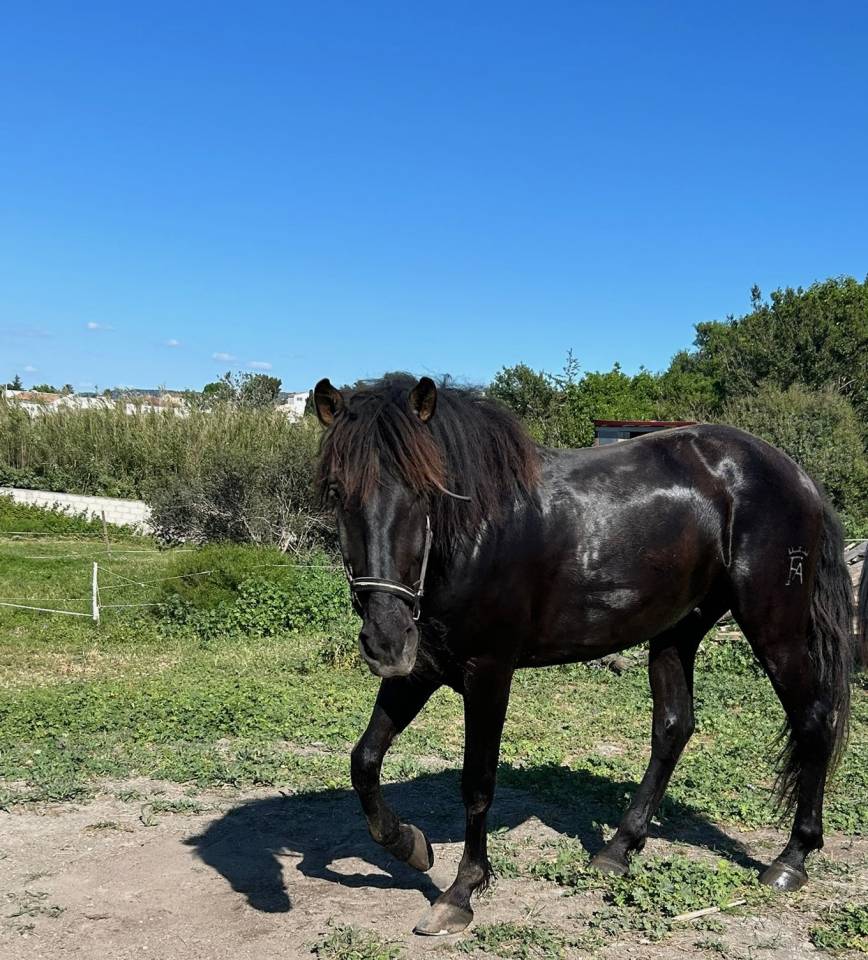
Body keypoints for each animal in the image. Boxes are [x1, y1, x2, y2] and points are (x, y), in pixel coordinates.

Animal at [313, 374, 867, 936]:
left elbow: (477, 782)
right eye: (337, 492)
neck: (475, 534)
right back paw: (618, 849)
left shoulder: (488, 673)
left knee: (813, 719)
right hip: (678, 629)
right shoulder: (418, 669)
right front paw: (410, 845)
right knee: (674, 727)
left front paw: (462, 892)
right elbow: (364, 761)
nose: (385, 638)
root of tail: (796, 475)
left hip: (774, 626)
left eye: (427, 490)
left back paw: (792, 858)